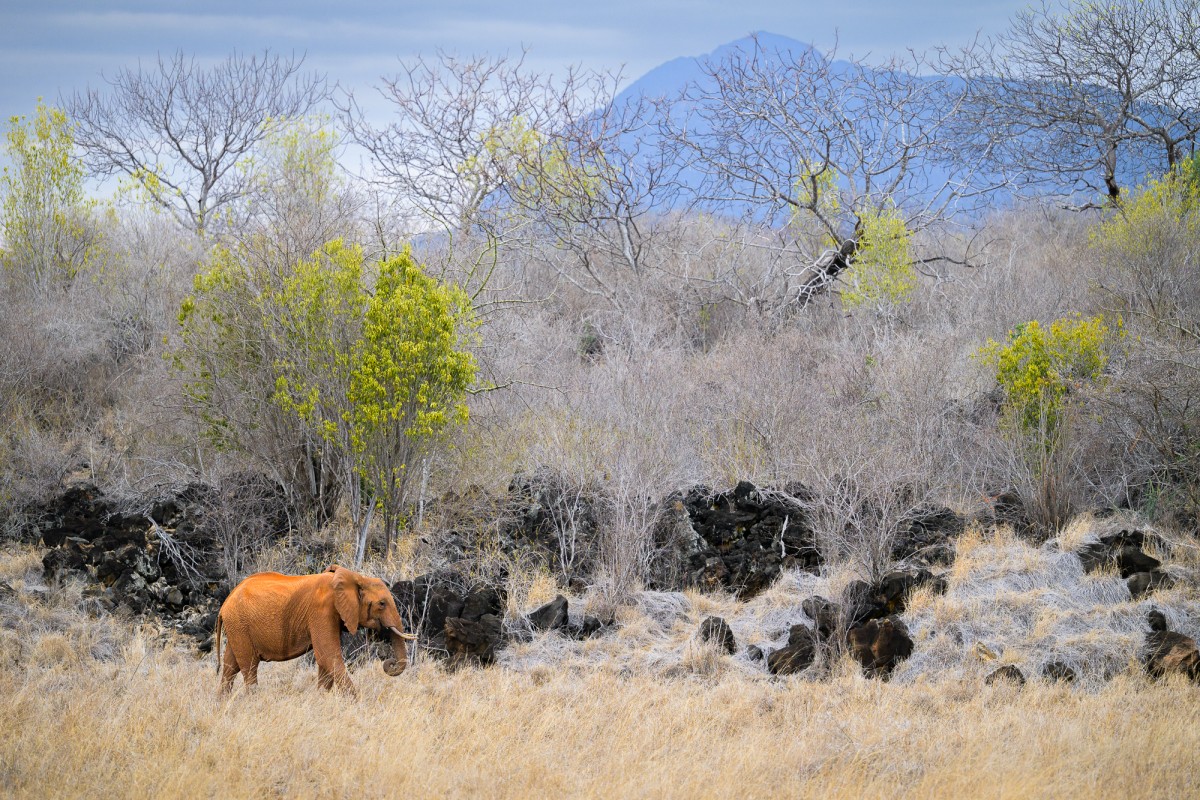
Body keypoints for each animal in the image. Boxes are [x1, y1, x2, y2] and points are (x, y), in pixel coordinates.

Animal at [216, 563, 417, 695]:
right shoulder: (322, 611)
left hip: (237, 626)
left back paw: (223, 702)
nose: (389, 663)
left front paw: (320, 700)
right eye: (382, 604)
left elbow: (325, 660)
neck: (355, 577)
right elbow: (328, 655)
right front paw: (355, 703)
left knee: (230, 666)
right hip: (239, 623)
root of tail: (225, 603)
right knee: (249, 666)